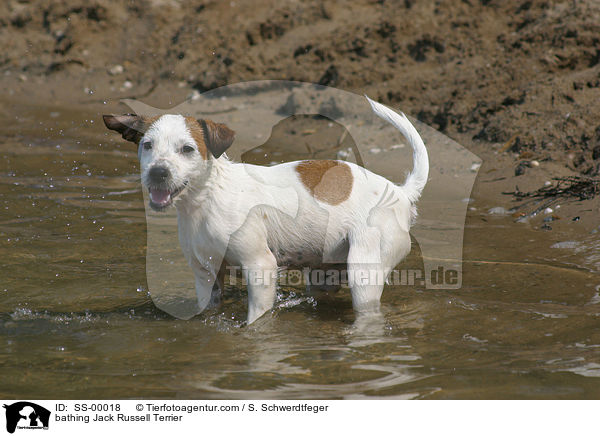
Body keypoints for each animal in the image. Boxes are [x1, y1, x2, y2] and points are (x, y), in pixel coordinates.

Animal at [105, 98, 428, 324]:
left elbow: (256, 322)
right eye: (147, 145)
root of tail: (400, 192)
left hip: (364, 273)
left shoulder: (260, 268)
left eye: (187, 149)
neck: (207, 199)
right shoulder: (205, 277)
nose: (158, 173)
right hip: (323, 275)